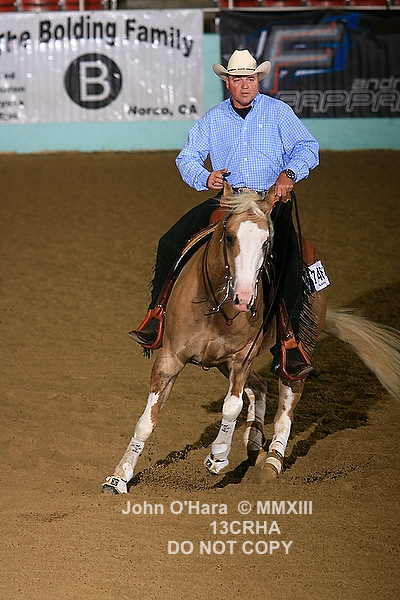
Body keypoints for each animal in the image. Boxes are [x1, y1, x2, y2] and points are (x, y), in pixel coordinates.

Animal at [103, 183, 400, 494]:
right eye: (230, 237)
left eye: (267, 242)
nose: (245, 298)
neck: (216, 305)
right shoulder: (170, 358)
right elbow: (147, 421)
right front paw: (119, 477)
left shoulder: (242, 358)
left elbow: (231, 407)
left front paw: (217, 458)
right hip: (222, 363)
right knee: (260, 386)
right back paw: (254, 442)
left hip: (296, 351)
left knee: (287, 403)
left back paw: (272, 461)